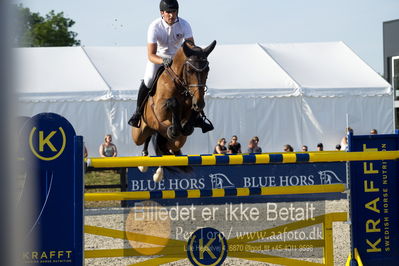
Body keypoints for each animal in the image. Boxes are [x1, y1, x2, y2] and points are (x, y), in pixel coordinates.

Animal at [133, 39, 217, 182]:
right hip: (139, 134)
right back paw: (144, 162)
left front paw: (187, 121)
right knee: (146, 137)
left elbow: (187, 124)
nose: (199, 103)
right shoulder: (159, 110)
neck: (179, 85)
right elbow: (172, 103)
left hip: (176, 141)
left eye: (207, 69)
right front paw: (173, 127)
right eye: (189, 70)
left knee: (166, 146)